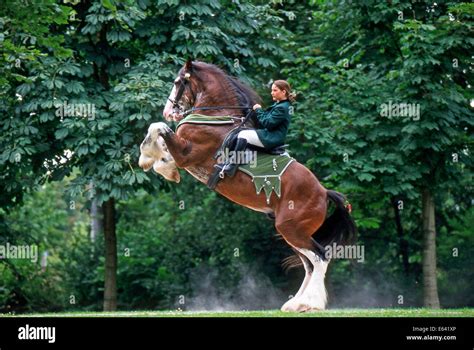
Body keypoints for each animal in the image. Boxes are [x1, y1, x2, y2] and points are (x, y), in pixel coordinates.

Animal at [149, 59, 356, 312]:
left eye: (179, 82)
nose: (168, 111)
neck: (217, 117)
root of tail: (324, 192)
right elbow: (160, 136)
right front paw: (157, 163)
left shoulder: (188, 154)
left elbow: (158, 128)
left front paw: (155, 161)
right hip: (293, 232)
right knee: (309, 263)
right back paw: (295, 304)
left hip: (292, 229)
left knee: (320, 258)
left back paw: (311, 303)